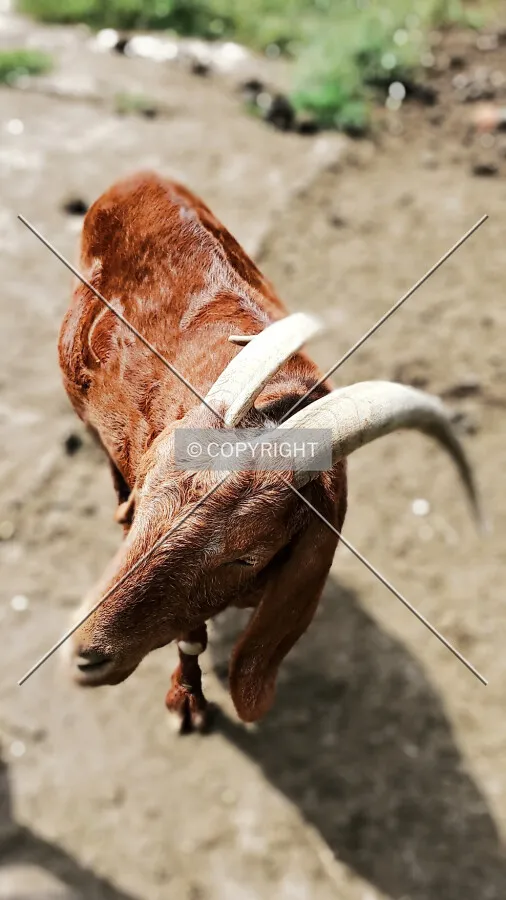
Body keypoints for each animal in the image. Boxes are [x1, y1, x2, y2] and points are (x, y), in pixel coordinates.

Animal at [59, 171, 480, 731]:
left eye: (245, 557)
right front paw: (187, 700)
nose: (84, 655)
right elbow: (190, 633)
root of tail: (139, 178)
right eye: (150, 499)